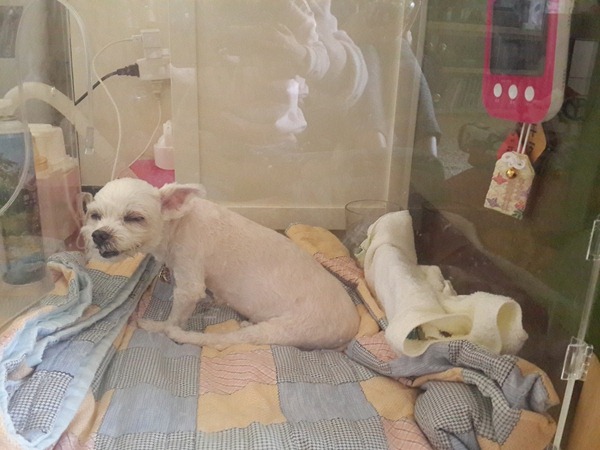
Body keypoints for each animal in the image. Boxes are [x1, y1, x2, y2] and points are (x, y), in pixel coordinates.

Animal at [81, 178, 360, 350]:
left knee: (223, 340)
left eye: (134, 218)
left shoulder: (189, 273)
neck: (178, 223)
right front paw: (213, 299)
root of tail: (350, 330)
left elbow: (176, 315)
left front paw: (161, 326)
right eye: (94, 215)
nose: (99, 235)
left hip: (284, 329)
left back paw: (179, 334)